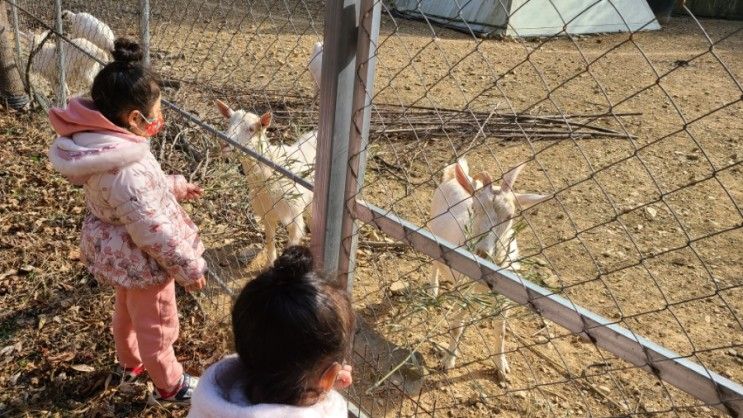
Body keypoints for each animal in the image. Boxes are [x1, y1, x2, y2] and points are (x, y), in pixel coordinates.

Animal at [217, 99, 318, 266]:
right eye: (229, 123)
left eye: (251, 129)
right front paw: (270, 263)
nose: (224, 144)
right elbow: (270, 241)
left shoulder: (294, 218)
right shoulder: (267, 214)